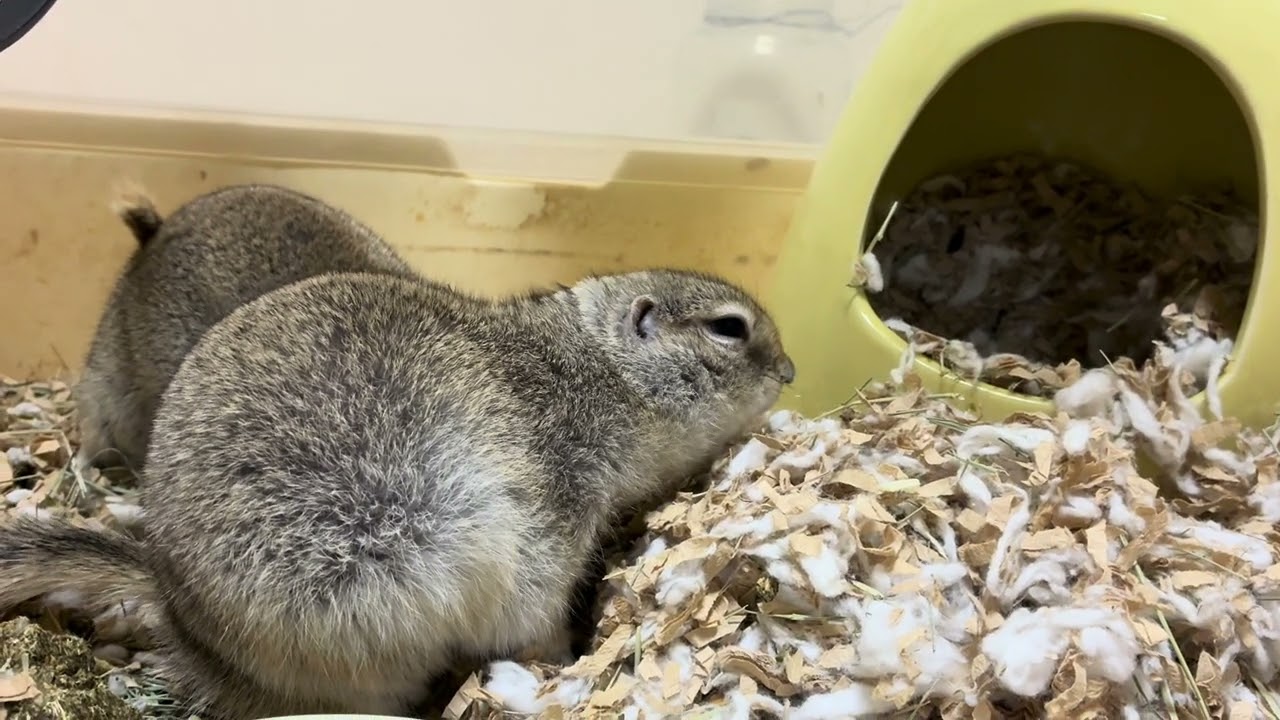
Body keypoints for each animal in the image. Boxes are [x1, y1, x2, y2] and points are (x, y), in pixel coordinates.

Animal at [0, 267, 794, 718]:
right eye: (730, 329)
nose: (790, 372)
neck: (590, 371)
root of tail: (177, 616)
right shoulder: (553, 511)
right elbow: (531, 611)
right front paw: (564, 659)